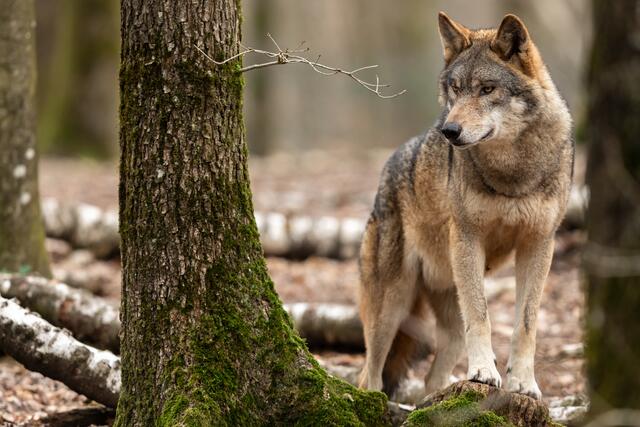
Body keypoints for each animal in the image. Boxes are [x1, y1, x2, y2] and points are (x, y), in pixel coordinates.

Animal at [358, 12, 573, 400]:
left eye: (487, 89)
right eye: (456, 89)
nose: (449, 130)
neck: (512, 172)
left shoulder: (538, 244)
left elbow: (526, 322)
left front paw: (523, 383)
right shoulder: (468, 238)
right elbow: (482, 316)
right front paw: (485, 372)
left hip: (445, 319)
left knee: (432, 380)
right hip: (390, 309)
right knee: (369, 376)